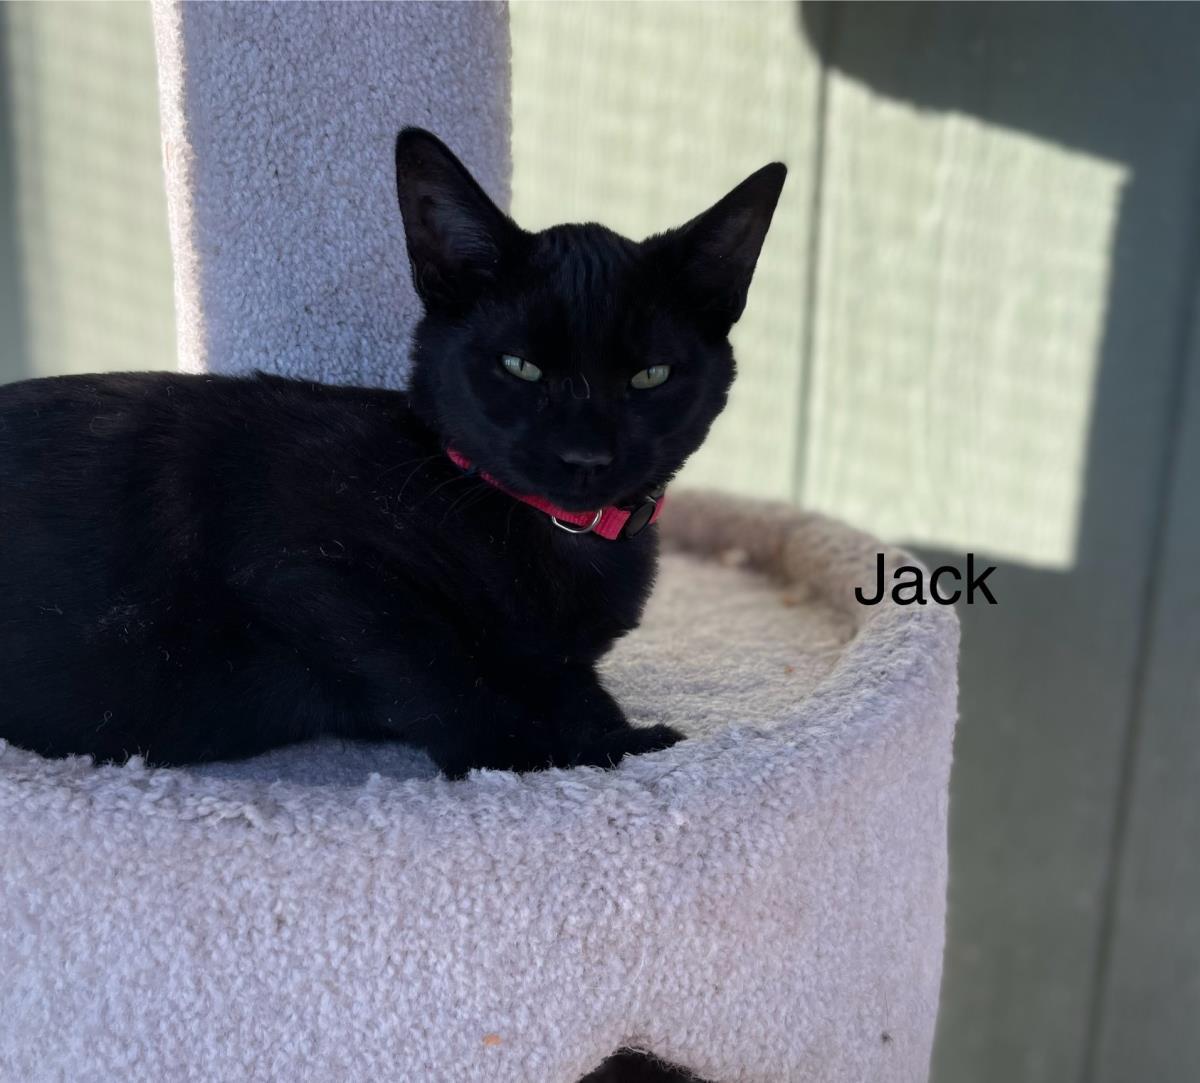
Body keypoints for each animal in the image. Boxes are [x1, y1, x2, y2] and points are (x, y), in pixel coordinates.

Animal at [0, 129, 782, 778]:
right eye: (520, 367)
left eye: (650, 376)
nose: (585, 455)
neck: (555, 537)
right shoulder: (307, 567)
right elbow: (438, 670)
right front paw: (551, 753)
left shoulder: (557, 656)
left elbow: (569, 679)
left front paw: (613, 730)